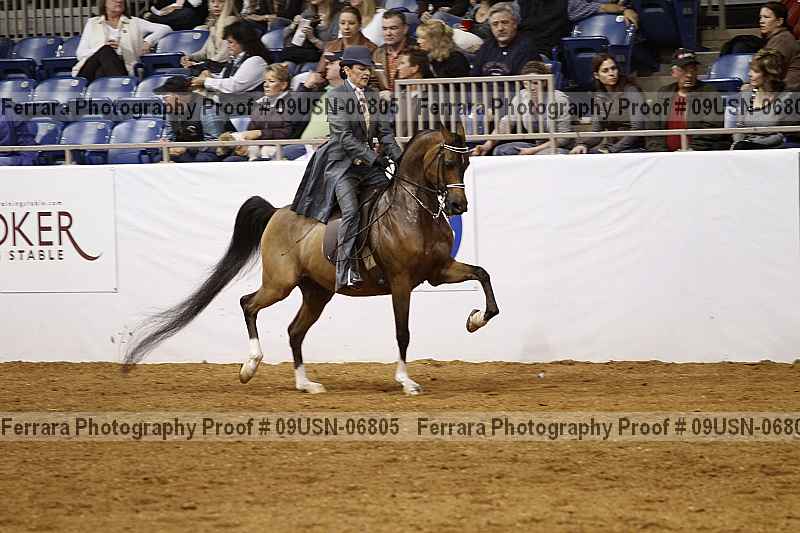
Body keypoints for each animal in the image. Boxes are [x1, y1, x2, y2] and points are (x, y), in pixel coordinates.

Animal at [123, 122, 500, 395]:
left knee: (294, 331)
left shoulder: (438, 271)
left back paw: (306, 384)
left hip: (316, 292)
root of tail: (277, 212)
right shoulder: (401, 282)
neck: (412, 213)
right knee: (248, 304)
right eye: (448, 162)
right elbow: (402, 332)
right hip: (280, 284)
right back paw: (250, 366)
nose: (458, 206)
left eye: (466, 163)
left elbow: (483, 275)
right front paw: (406, 382)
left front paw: (475, 320)